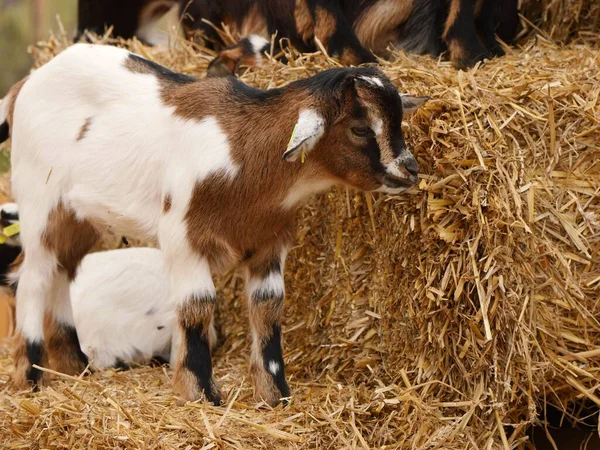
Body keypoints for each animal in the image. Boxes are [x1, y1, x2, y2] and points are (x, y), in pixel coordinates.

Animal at [2, 44, 428, 406]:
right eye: (360, 128)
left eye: (398, 122)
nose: (409, 170)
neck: (243, 153)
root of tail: (26, 84)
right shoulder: (183, 237)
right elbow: (197, 306)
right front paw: (201, 393)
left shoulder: (270, 242)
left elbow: (268, 308)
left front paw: (275, 395)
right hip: (40, 205)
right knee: (34, 277)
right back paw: (31, 376)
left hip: (79, 218)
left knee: (63, 270)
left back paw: (75, 367)